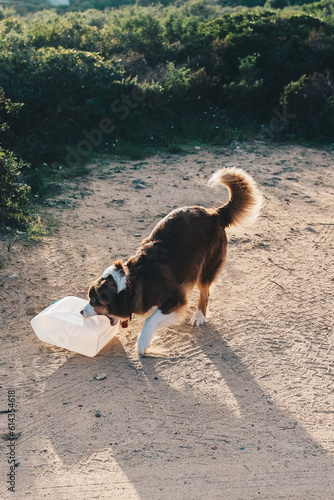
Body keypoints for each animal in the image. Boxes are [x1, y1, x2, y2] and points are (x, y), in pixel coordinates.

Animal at [80, 168, 260, 356]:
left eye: (95, 301)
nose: (80, 311)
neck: (131, 284)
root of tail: (214, 213)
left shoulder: (177, 298)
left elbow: (150, 320)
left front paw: (142, 343)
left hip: (206, 269)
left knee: (205, 293)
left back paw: (199, 316)